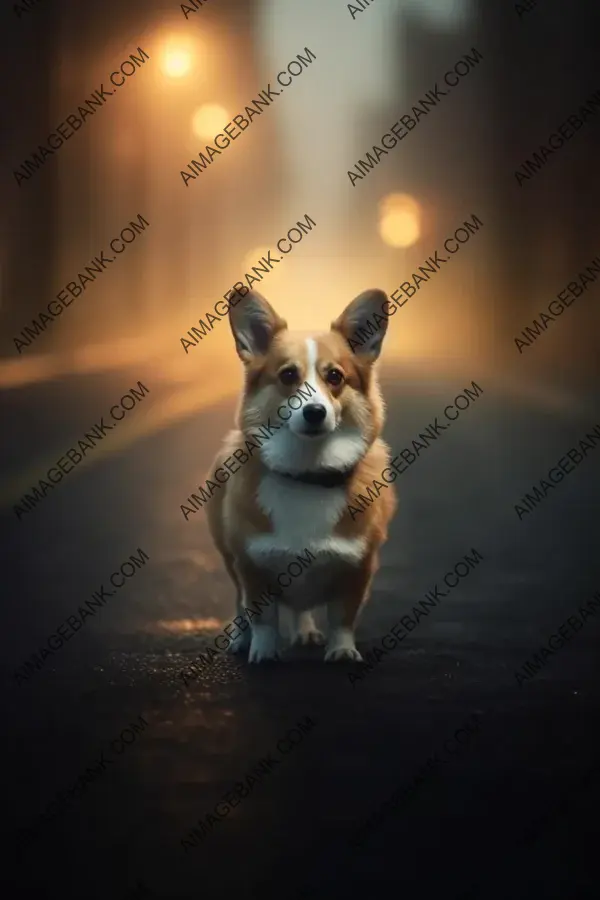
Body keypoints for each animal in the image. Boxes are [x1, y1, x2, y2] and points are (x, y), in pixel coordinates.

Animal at [206, 292, 398, 664]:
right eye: (288, 375)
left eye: (335, 376)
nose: (314, 412)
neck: (307, 472)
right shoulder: (251, 564)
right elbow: (262, 617)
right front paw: (263, 652)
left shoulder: (358, 567)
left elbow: (343, 617)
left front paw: (342, 651)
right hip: (228, 557)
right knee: (238, 602)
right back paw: (240, 638)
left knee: (302, 607)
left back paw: (306, 631)